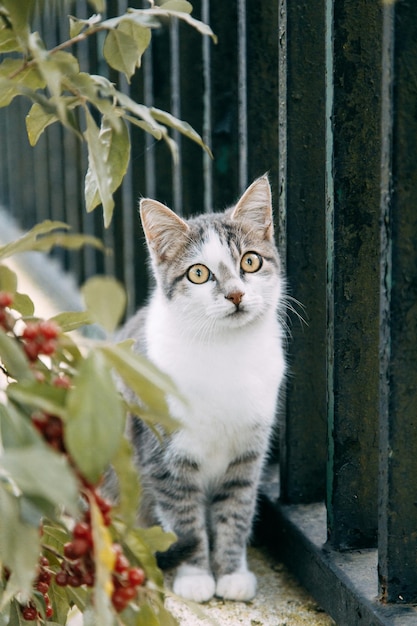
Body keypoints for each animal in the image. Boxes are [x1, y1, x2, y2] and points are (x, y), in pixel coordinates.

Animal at [118, 174, 284, 600]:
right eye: (198, 273)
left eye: (250, 261)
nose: (236, 294)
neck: (224, 350)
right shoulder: (164, 454)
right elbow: (184, 518)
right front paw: (195, 577)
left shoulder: (248, 452)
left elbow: (236, 510)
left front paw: (232, 573)